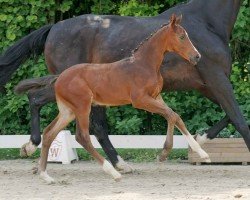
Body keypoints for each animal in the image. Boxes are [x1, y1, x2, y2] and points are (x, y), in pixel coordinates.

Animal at [39, 13, 209, 183]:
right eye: (181, 37)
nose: (197, 56)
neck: (144, 64)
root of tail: (59, 79)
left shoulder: (156, 97)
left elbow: (176, 117)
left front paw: (203, 154)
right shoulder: (140, 100)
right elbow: (171, 115)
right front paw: (163, 153)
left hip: (68, 111)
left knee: (48, 133)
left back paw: (45, 175)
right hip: (82, 107)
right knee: (82, 137)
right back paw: (114, 172)